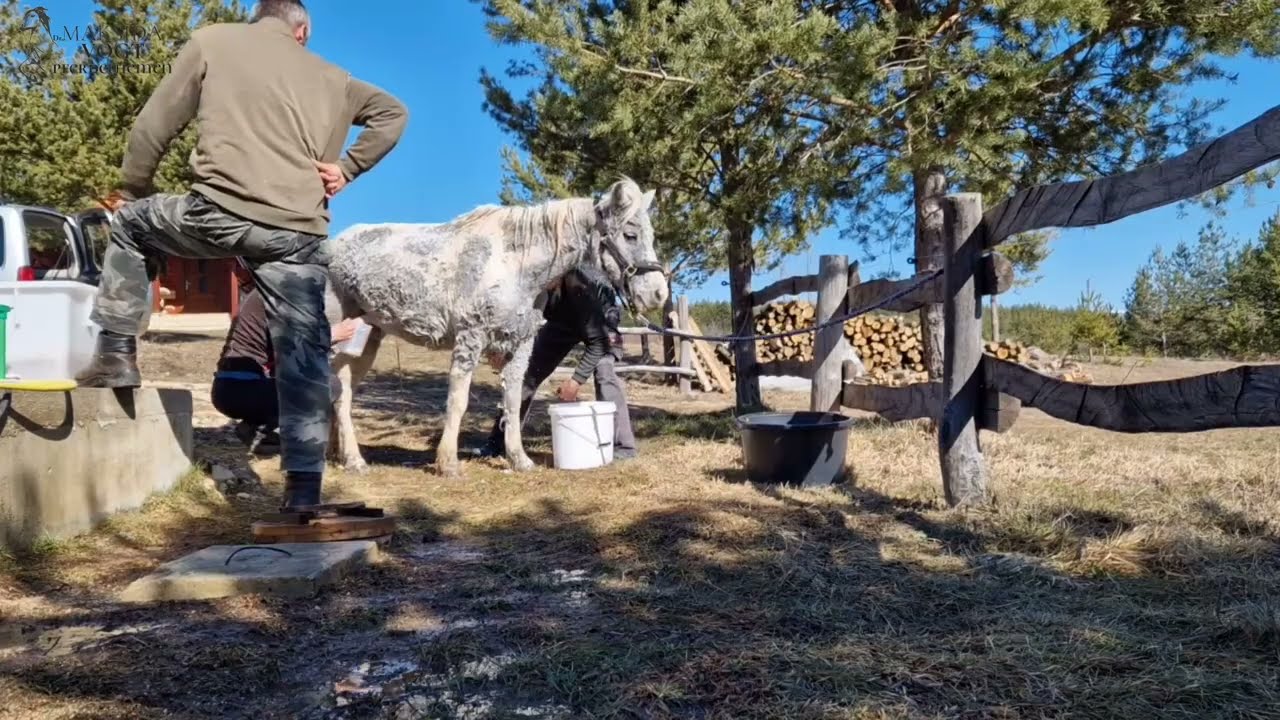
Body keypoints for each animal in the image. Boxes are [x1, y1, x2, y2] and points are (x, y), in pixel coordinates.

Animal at [323, 178, 670, 476]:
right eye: (630, 235)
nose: (658, 293)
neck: (514, 264)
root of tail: (332, 247)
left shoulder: (521, 344)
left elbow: (513, 403)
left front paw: (519, 459)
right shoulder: (470, 338)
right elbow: (458, 401)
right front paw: (448, 464)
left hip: (368, 338)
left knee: (344, 392)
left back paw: (340, 455)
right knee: (338, 392)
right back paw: (351, 459)